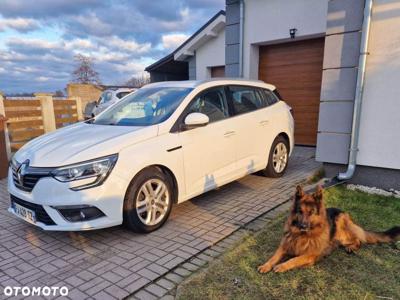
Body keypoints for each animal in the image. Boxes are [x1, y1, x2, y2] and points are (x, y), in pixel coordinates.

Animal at [258, 184, 398, 274]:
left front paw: (282, 266)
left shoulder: (310, 254)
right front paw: (265, 265)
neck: (303, 235)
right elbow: (274, 257)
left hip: (341, 228)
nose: (303, 226)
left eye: (311, 212)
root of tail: (343, 212)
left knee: (358, 239)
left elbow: (294, 259)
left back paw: (351, 247)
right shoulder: (284, 246)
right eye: (300, 211)